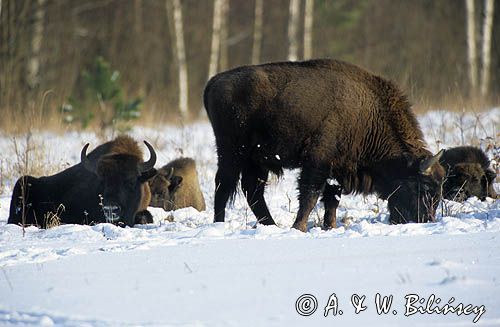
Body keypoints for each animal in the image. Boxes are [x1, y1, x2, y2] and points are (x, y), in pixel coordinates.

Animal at [203, 59, 446, 233]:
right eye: (424, 187)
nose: (424, 220)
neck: (367, 115)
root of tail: (214, 81)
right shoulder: (318, 162)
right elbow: (310, 196)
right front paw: (299, 227)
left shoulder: (338, 170)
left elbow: (331, 200)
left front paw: (330, 226)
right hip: (232, 151)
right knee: (224, 185)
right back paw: (219, 224)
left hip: (256, 160)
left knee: (252, 190)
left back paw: (270, 225)